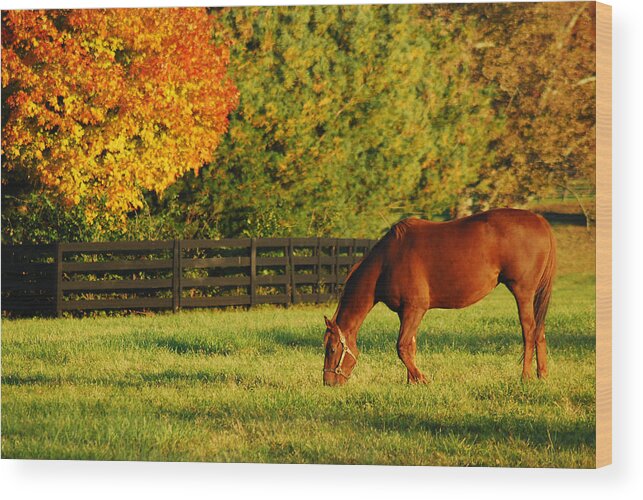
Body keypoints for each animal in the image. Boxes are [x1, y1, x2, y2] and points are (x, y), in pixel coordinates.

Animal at [324, 207, 556, 386]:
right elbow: (411, 346)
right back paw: (542, 374)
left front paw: (422, 379)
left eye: (332, 349)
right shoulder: (405, 313)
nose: (328, 382)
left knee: (529, 331)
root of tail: (540, 220)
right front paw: (412, 382)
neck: (387, 261)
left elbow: (402, 347)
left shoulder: (415, 309)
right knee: (540, 330)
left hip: (523, 292)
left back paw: (525, 376)